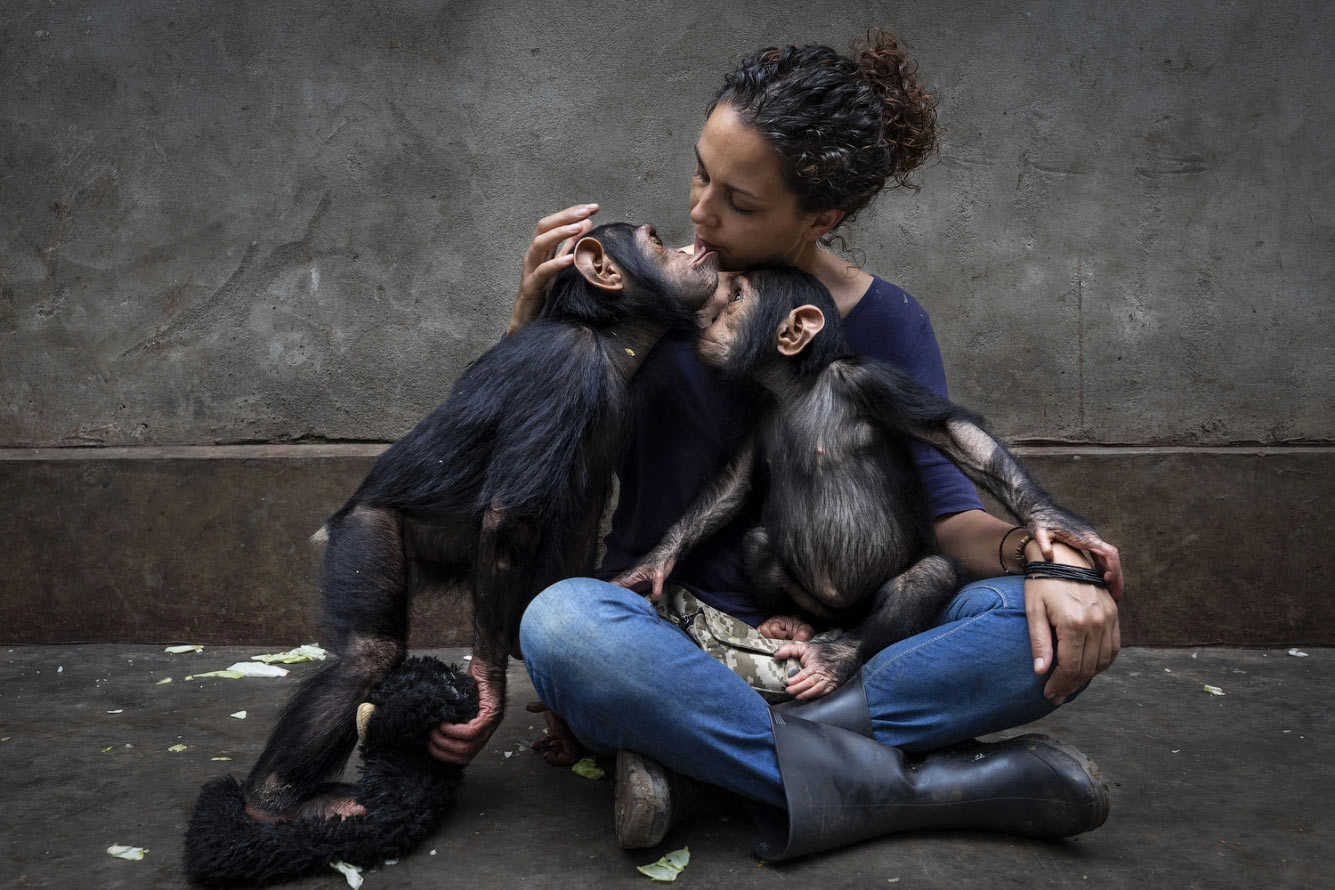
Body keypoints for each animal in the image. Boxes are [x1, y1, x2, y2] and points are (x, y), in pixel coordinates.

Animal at [238, 222, 720, 821]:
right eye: (654, 239)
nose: (690, 246)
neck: (610, 338)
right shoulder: (562, 370)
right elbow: (509, 521)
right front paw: (487, 696)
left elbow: (576, 529)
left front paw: (562, 727)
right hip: (366, 532)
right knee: (368, 656)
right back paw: (272, 801)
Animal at [614, 264, 1116, 704]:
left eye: (737, 298)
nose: (714, 314)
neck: (799, 387)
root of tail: (843, 614)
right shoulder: (756, 411)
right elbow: (733, 486)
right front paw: (652, 565)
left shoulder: (869, 380)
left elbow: (952, 433)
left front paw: (1053, 523)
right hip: (815, 601)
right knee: (758, 543)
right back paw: (792, 623)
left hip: (870, 606)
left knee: (928, 577)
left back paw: (836, 656)